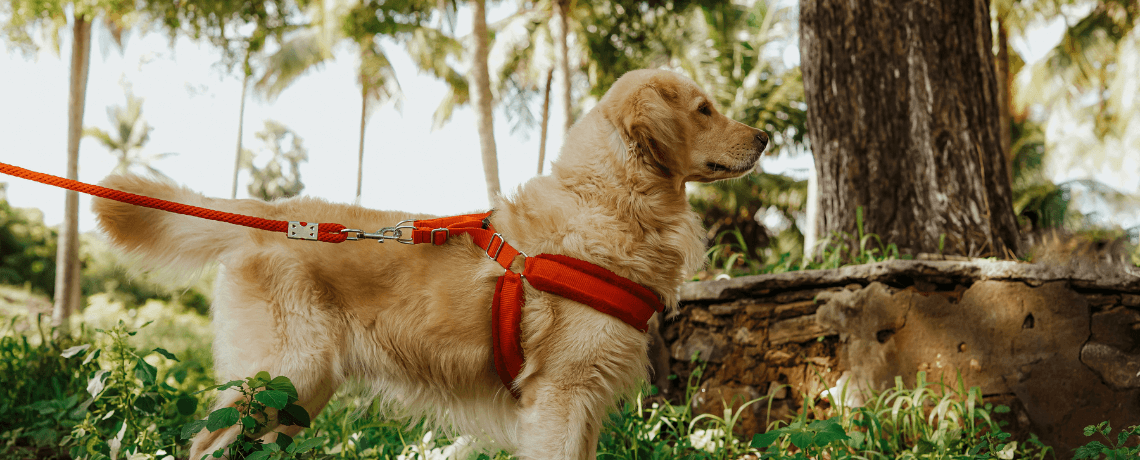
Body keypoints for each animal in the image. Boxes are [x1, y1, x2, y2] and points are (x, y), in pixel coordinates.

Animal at [93, 66, 770, 457]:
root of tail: (268, 218)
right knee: (202, 444)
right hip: (284, 374)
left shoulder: (585, 404)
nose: (765, 136)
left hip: (296, 397)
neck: (609, 203)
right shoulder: (560, 394)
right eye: (705, 109)